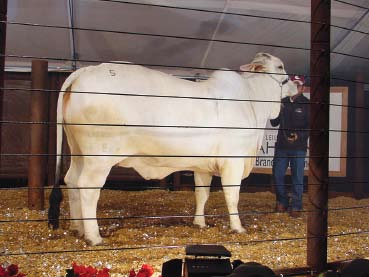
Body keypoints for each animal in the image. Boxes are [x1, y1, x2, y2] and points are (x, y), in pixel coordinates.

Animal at [49, 51, 296, 244]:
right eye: (280, 66)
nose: (297, 83)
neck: (253, 102)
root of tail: (86, 71)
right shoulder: (233, 162)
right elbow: (232, 196)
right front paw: (238, 227)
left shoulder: (203, 166)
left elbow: (202, 194)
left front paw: (199, 223)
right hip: (98, 157)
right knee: (87, 187)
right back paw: (93, 236)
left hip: (78, 152)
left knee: (71, 180)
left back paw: (78, 228)